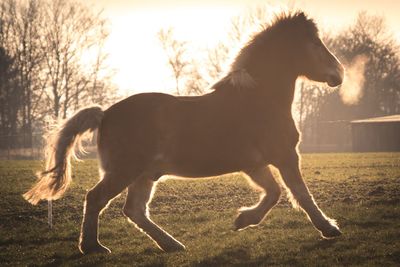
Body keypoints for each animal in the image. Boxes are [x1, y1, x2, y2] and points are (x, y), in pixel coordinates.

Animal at [24, 12, 344, 255]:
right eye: (315, 43)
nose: (338, 74)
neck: (258, 99)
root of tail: (105, 114)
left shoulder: (254, 164)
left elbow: (275, 193)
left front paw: (242, 219)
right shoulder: (284, 156)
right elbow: (300, 194)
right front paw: (329, 228)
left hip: (144, 175)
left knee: (134, 210)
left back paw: (172, 245)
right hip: (126, 171)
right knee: (96, 199)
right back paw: (93, 247)